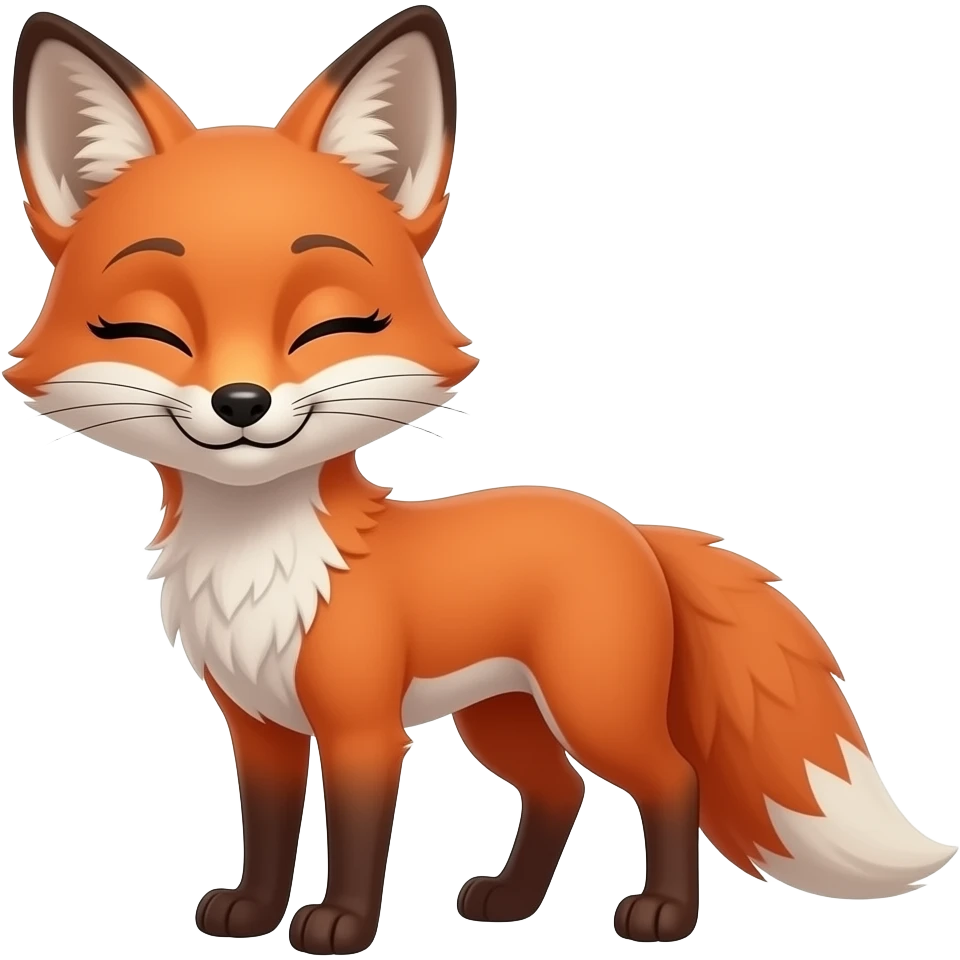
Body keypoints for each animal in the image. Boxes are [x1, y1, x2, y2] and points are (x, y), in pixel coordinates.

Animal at [6, 6, 957, 954]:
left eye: (333, 326)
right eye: (145, 330)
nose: (242, 402)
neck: (262, 561)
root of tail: (630, 526)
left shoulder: (363, 728)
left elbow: (357, 833)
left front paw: (342, 924)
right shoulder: (260, 728)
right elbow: (269, 830)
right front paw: (251, 911)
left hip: (591, 706)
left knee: (670, 777)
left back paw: (662, 914)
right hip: (499, 717)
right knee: (559, 790)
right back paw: (511, 901)